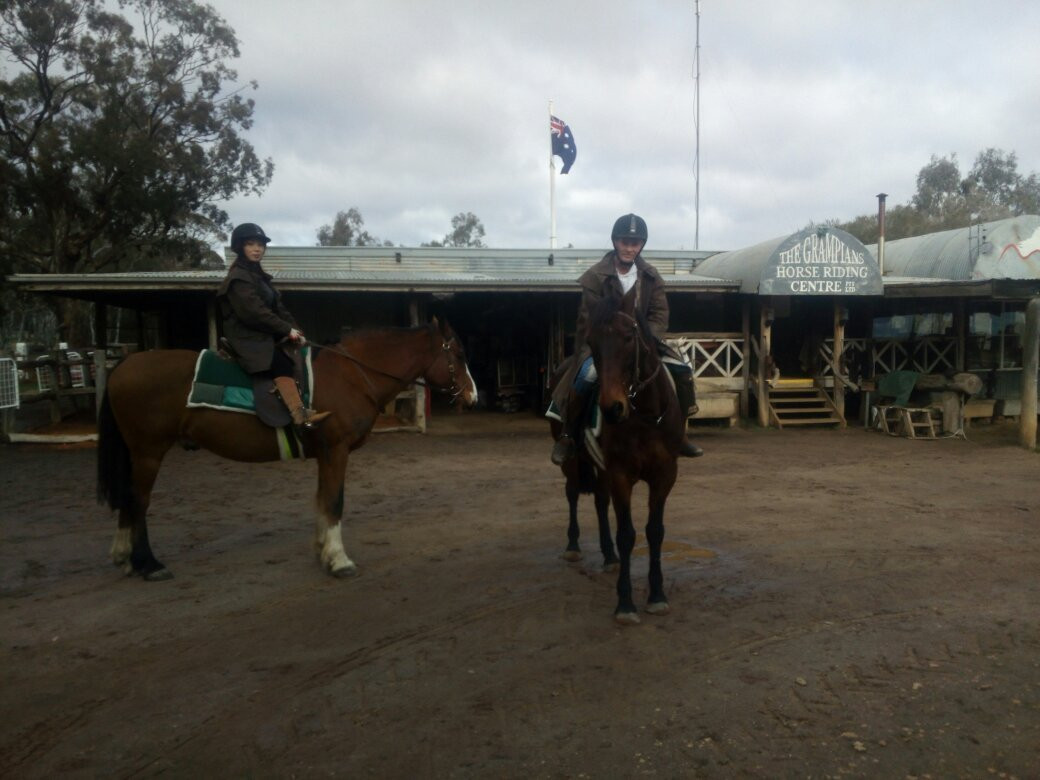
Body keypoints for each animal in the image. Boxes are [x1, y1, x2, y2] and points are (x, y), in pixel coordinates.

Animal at [97, 318, 477, 581]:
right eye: (459, 354)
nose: (473, 396)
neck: (352, 374)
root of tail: (124, 365)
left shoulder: (326, 453)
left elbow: (323, 499)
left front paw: (323, 551)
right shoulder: (337, 449)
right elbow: (335, 501)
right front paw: (339, 560)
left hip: (137, 453)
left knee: (129, 499)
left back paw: (124, 557)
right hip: (148, 452)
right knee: (138, 501)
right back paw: (148, 564)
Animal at [585, 290, 682, 624]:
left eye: (629, 337)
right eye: (591, 342)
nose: (612, 408)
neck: (644, 416)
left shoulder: (665, 475)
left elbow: (655, 531)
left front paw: (657, 595)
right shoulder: (619, 475)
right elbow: (627, 534)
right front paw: (625, 603)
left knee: (600, 502)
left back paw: (607, 555)